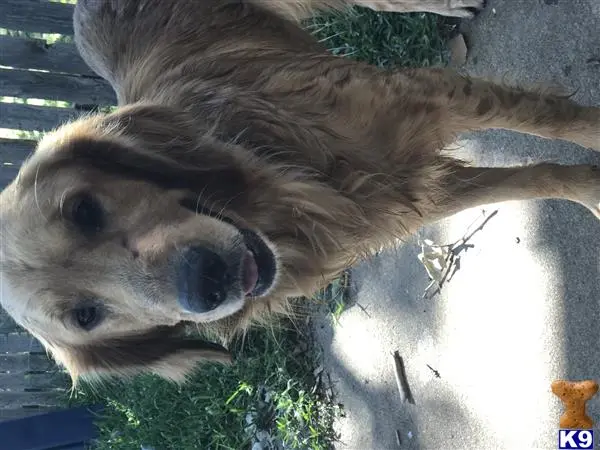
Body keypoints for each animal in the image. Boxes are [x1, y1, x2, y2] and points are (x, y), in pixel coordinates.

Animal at [1, 0, 600, 384]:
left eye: (84, 210)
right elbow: (538, 176)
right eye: (86, 317)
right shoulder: (411, 194)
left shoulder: (425, 95)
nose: (206, 284)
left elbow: (557, 122)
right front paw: (589, 188)